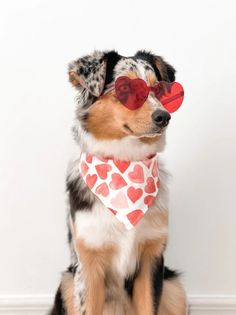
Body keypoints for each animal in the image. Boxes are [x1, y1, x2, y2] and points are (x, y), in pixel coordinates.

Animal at [49, 50, 188, 314]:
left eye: (158, 90)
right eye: (126, 90)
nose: (164, 116)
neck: (126, 162)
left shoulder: (151, 258)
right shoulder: (88, 264)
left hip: (175, 288)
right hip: (67, 282)